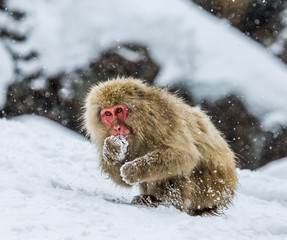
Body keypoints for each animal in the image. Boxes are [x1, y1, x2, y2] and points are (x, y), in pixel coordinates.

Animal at [84, 77, 238, 216]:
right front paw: (111, 149)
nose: (117, 128)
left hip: (209, 191)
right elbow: (123, 180)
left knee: (179, 171)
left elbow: (184, 154)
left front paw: (132, 170)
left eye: (119, 111)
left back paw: (161, 202)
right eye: (108, 114)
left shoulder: (159, 118)